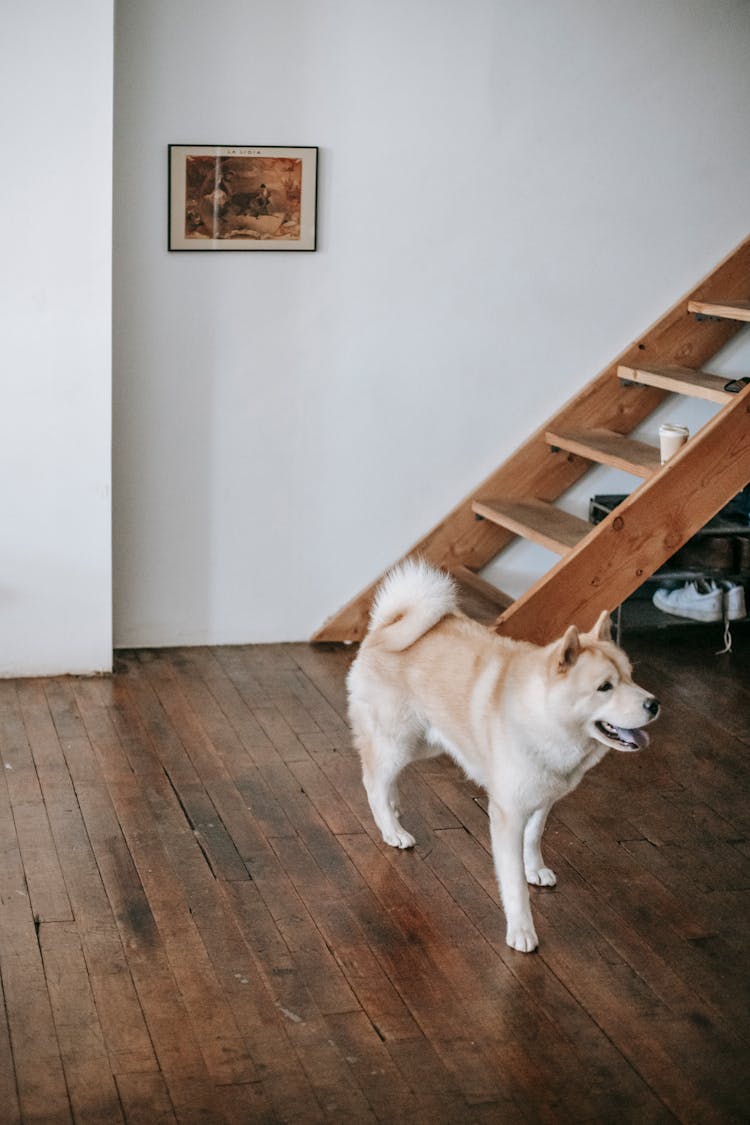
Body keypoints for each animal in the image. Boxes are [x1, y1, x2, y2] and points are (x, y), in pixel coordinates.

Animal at [348, 558, 661, 954]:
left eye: (631, 677)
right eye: (605, 687)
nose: (654, 704)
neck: (543, 718)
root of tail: (385, 626)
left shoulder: (543, 800)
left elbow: (534, 837)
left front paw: (535, 869)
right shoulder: (507, 815)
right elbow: (513, 884)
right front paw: (521, 931)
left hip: (427, 743)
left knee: (385, 776)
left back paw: (395, 806)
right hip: (398, 740)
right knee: (372, 778)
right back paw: (392, 829)